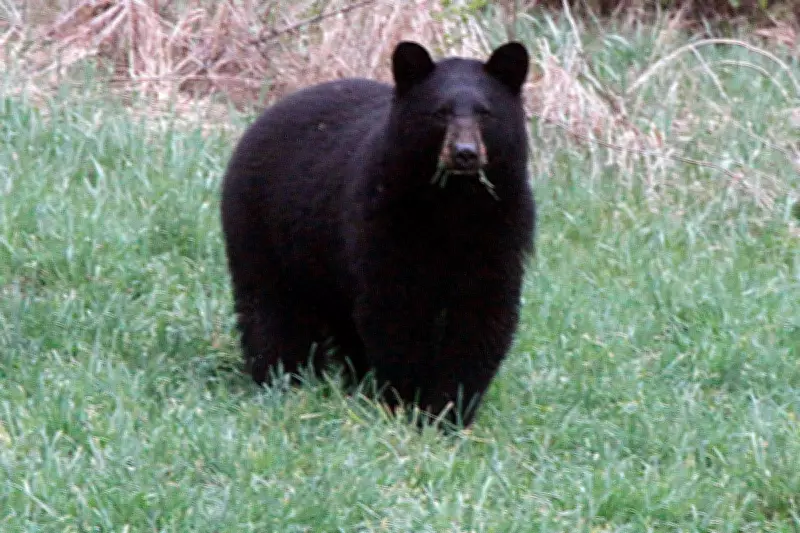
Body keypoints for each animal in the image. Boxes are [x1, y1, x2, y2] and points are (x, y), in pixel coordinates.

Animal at [220, 40, 536, 429]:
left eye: (486, 113)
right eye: (440, 113)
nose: (465, 154)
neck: (453, 205)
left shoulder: (500, 231)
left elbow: (482, 316)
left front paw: (449, 412)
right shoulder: (385, 222)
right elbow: (395, 311)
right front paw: (406, 403)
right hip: (263, 228)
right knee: (271, 308)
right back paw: (282, 378)